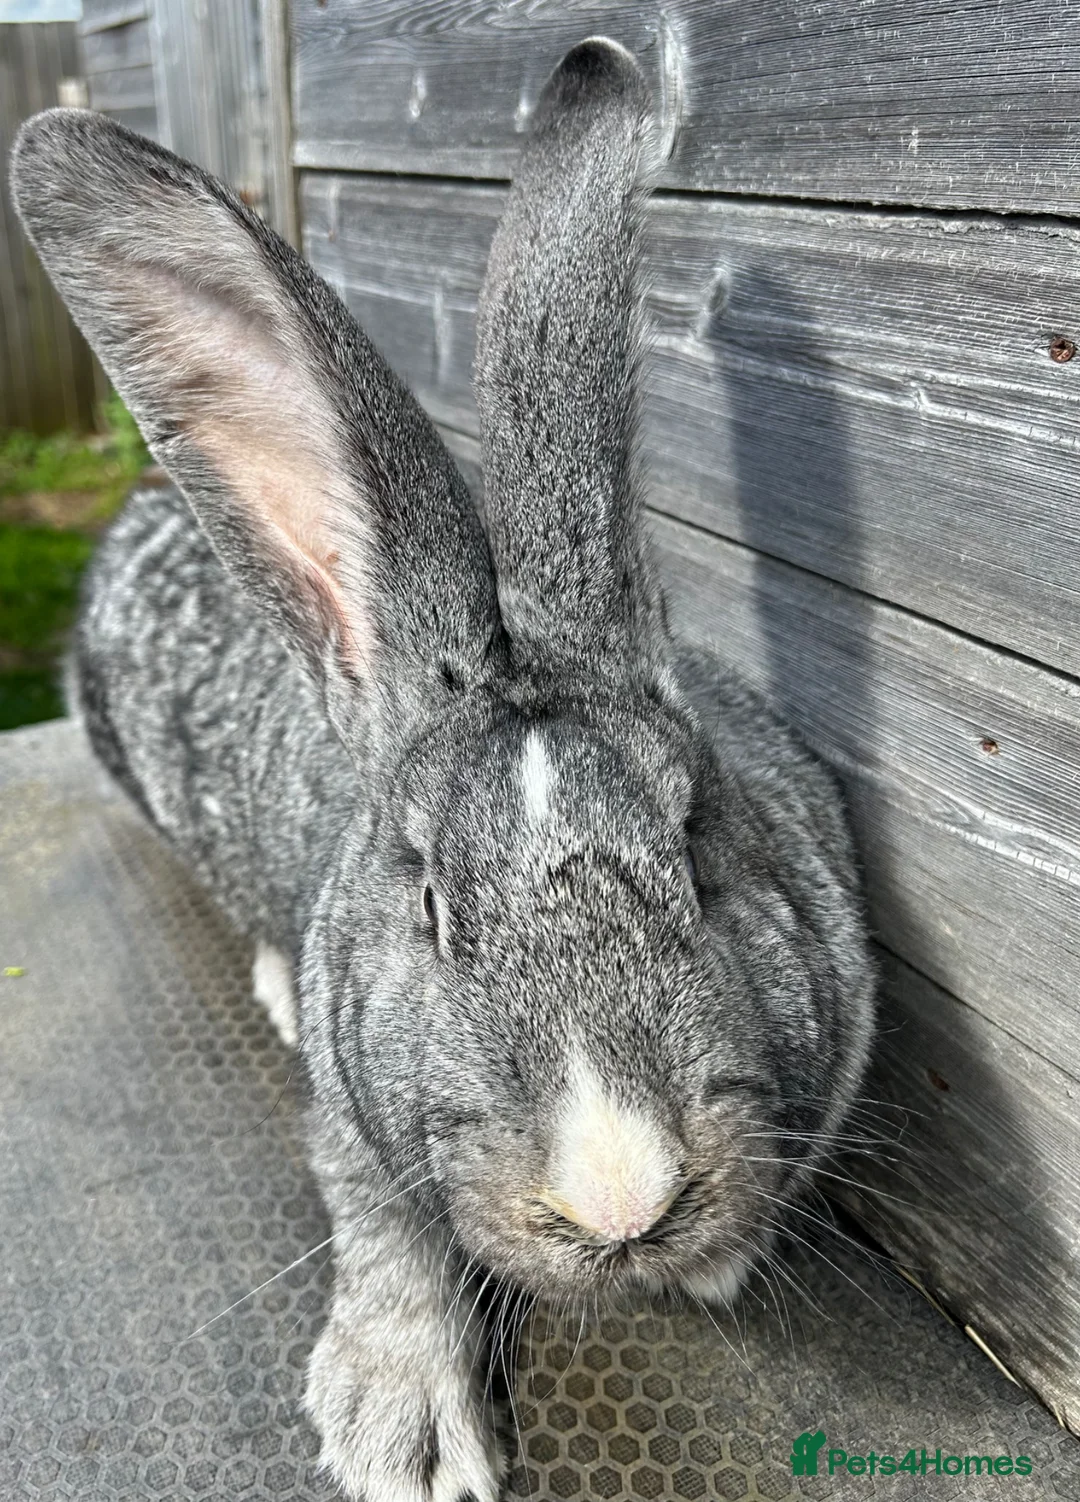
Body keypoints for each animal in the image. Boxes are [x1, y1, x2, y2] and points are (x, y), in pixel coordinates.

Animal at [12, 37, 874, 1502]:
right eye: (426, 903)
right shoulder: (354, 1128)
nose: (619, 1195)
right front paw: (401, 1431)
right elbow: (380, 1227)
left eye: (699, 848)